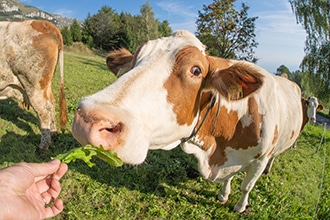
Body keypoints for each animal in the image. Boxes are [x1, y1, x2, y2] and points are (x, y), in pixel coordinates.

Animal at [0, 19, 67, 150]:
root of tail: (44, 23)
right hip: (45, 85)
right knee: (51, 104)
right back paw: (53, 135)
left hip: (34, 87)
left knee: (43, 112)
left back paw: (43, 147)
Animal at [73, 30, 306, 212]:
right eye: (133, 61)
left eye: (196, 70)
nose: (88, 118)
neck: (215, 151)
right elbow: (230, 179)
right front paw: (223, 195)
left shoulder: (260, 159)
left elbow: (246, 186)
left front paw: (240, 207)